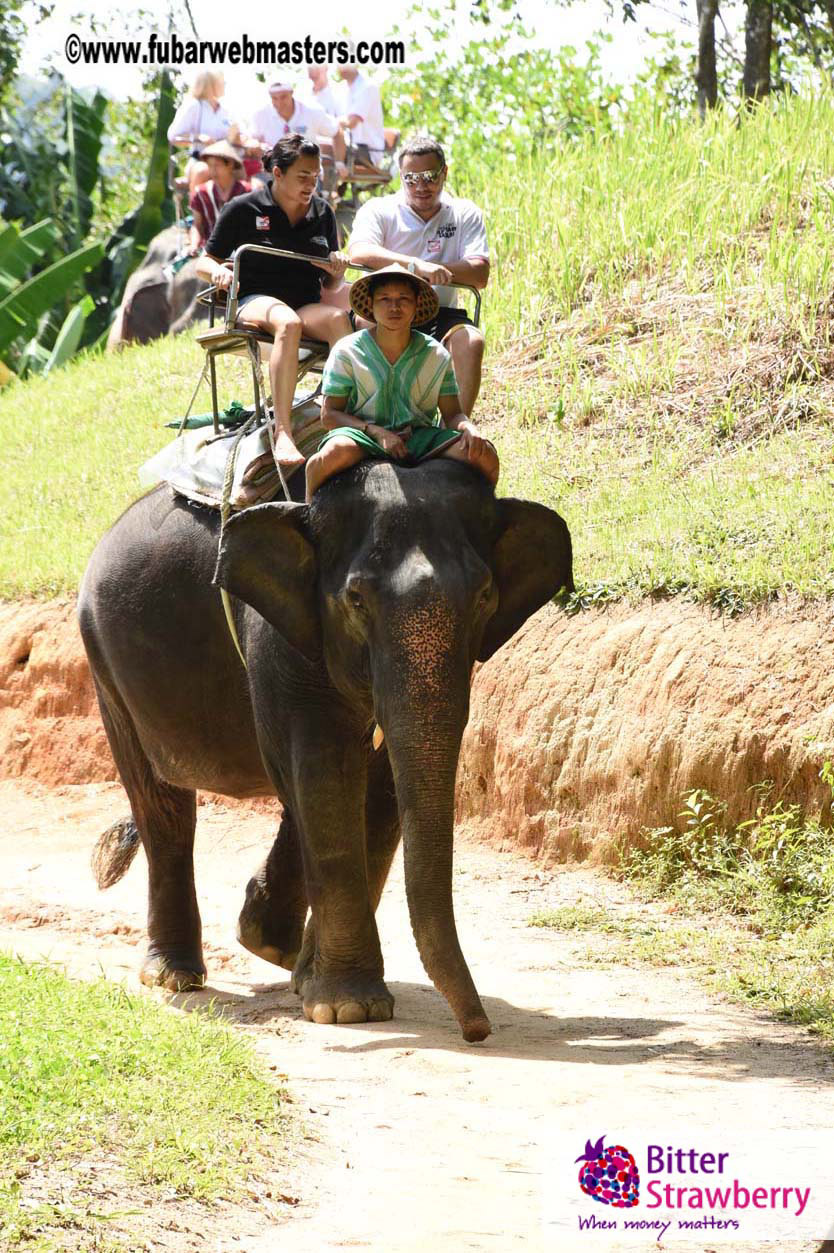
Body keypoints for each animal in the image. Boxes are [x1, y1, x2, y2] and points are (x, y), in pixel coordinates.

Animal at [78, 459, 573, 1042]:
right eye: (356, 601)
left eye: (484, 598)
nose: (478, 1031)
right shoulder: (278, 637)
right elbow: (323, 772)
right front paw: (347, 1007)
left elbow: (379, 790)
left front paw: (307, 978)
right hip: (105, 666)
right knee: (162, 807)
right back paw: (174, 976)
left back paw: (272, 947)